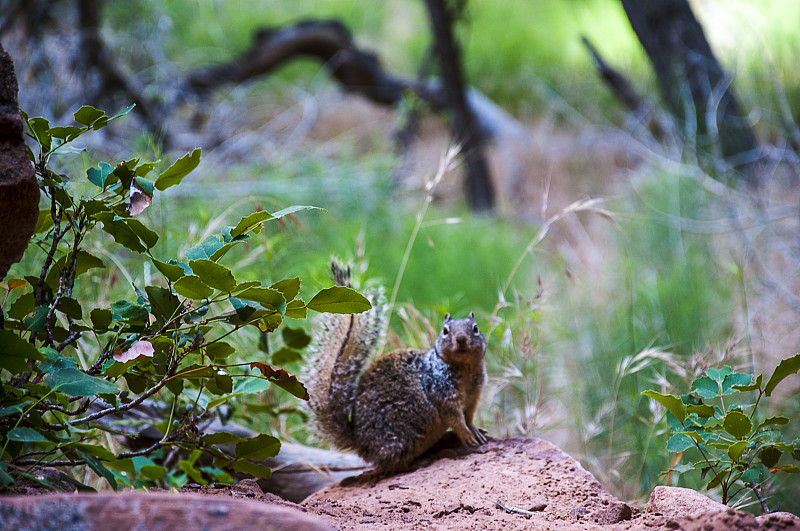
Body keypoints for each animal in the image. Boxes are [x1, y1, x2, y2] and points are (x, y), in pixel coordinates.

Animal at [306, 264, 488, 476]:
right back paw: (419, 462)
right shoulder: (442, 393)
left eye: (475, 328)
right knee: (393, 465)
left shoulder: (473, 395)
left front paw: (475, 430)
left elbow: (469, 416)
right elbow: (455, 418)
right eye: (445, 331)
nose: (461, 339)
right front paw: (466, 435)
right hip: (403, 436)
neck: (465, 368)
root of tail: (360, 442)